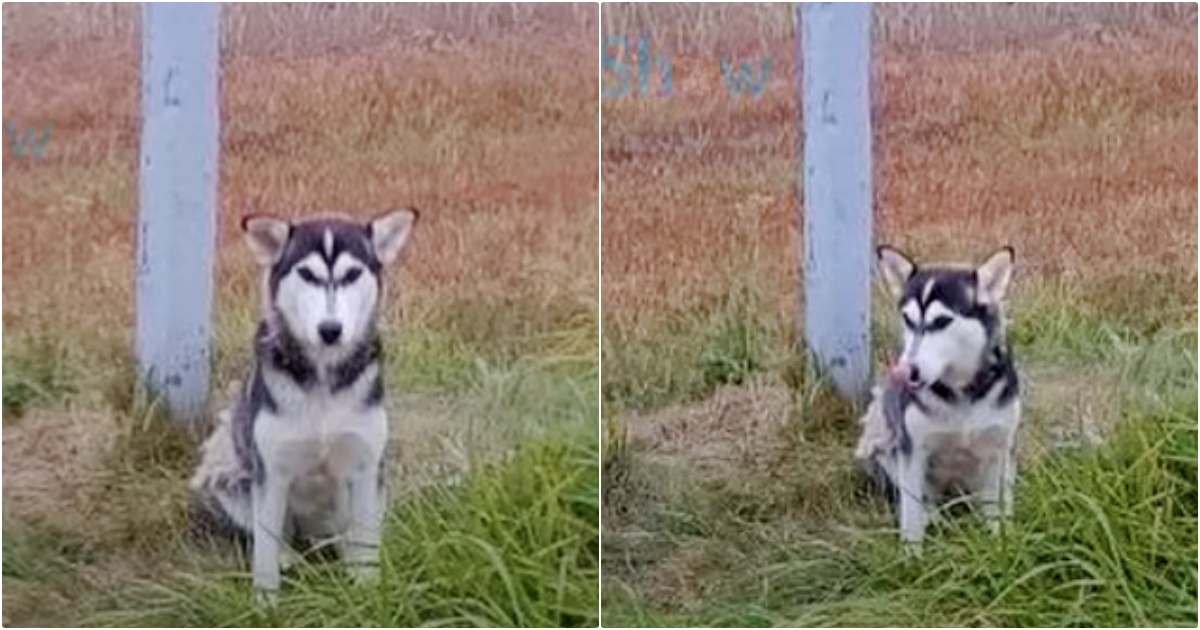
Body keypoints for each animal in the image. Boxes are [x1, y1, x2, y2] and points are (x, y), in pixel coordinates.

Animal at [184, 210, 415, 595]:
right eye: (307, 274)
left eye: (352, 274)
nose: (330, 330)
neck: (323, 378)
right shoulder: (272, 473)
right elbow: (264, 556)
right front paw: (265, 603)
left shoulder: (367, 467)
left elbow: (366, 547)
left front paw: (368, 592)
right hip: (227, 479)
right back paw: (288, 556)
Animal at [859, 243, 1017, 542]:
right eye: (907, 319)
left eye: (942, 321)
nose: (904, 372)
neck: (962, 394)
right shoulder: (913, 452)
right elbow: (910, 516)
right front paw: (911, 552)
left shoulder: (998, 448)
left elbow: (997, 510)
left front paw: (1001, 541)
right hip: (882, 444)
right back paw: (932, 515)